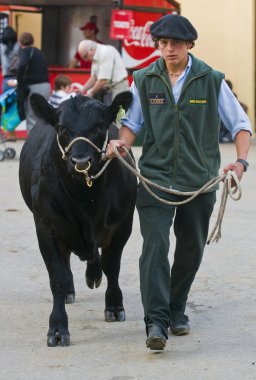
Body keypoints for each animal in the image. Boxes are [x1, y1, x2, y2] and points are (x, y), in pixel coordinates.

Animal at [19, 93, 138, 348]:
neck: (87, 200)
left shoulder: (123, 225)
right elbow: (58, 276)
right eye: (62, 128)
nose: (81, 161)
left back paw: (93, 274)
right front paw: (57, 328)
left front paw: (114, 305)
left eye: (100, 125)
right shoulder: (46, 227)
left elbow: (112, 266)